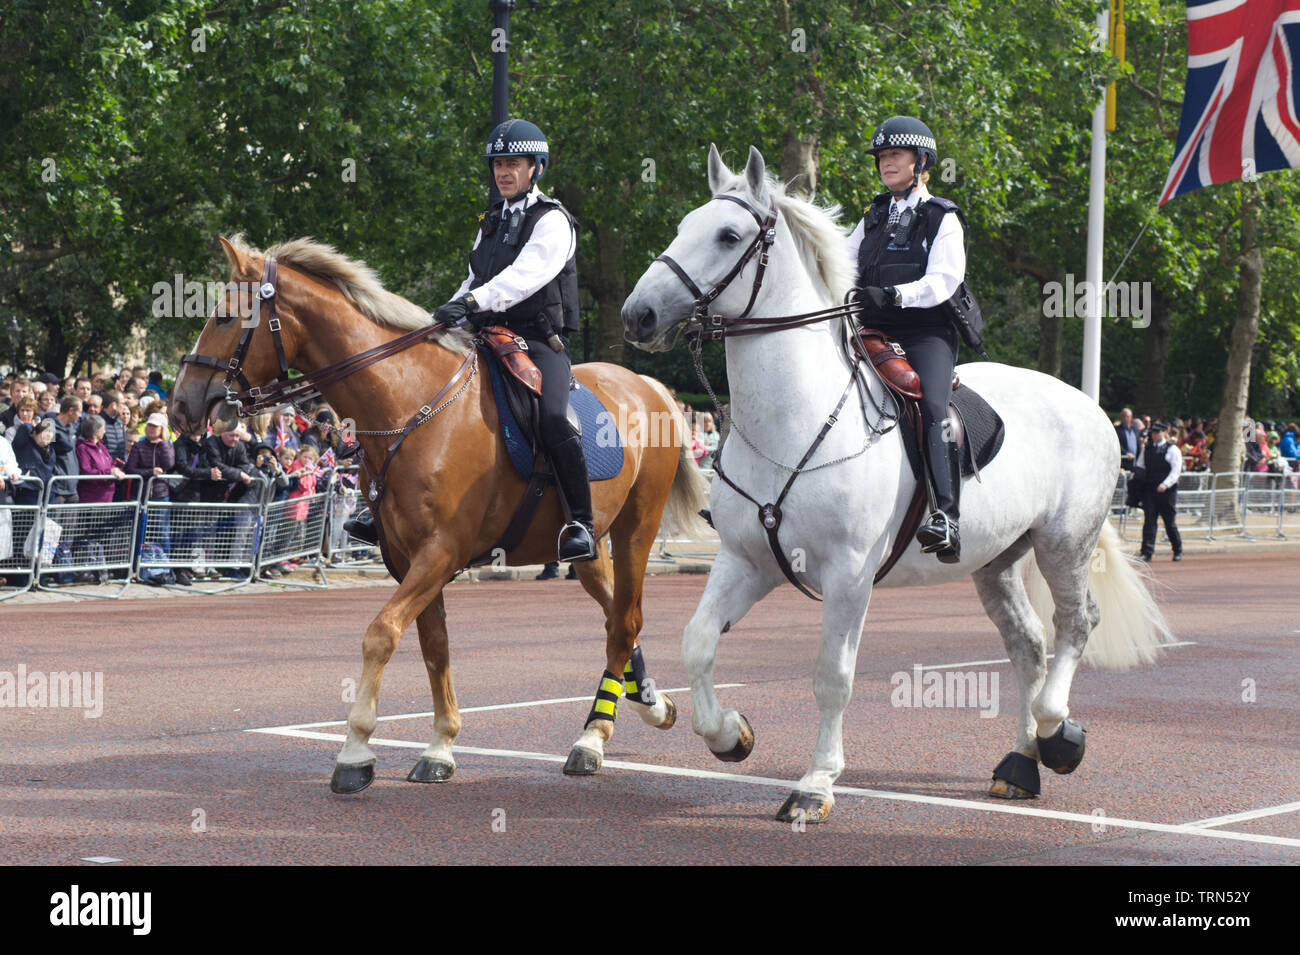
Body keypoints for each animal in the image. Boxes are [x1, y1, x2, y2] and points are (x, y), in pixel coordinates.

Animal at [171, 237, 707, 789]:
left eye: (226, 317)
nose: (181, 403)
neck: (410, 404)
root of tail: (649, 385)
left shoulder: (440, 552)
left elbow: (381, 635)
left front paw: (356, 749)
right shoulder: (408, 558)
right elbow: (435, 646)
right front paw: (440, 745)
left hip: (635, 529)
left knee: (625, 620)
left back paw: (593, 737)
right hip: (588, 546)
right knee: (617, 618)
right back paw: (650, 703)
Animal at [616, 145, 1170, 826]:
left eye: (728, 235)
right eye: (682, 225)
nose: (638, 314)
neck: (792, 422)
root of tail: (1090, 406)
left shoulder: (848, 576)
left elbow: (833, 676)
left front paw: (815, 784)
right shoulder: (748, 560)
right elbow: (698, 642)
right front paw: (729, 735)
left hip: (1063, 544)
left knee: (1075, 625)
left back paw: (1056, 732)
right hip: (997, 561)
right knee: (1028, 646)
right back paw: (1019, 765)